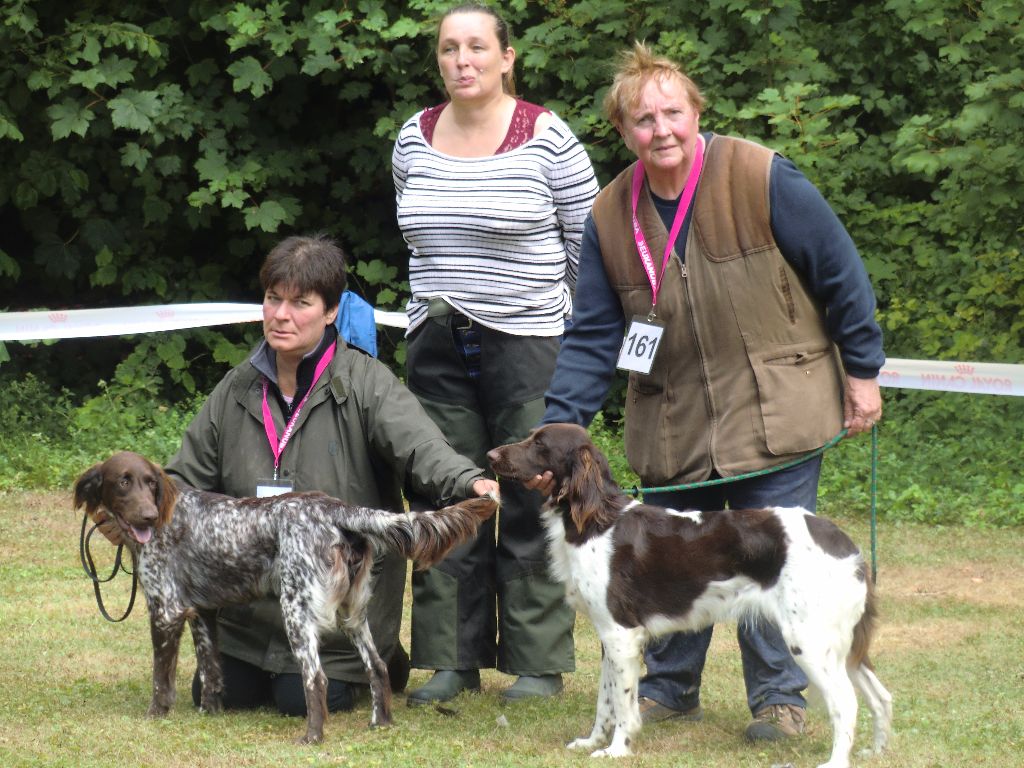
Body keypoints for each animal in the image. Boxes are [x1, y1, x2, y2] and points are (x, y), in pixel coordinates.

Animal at [74, 451, 497, 744]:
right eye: (123, 482)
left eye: (149, 483)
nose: (147, 517)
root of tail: (337, 509)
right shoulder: (204, 614)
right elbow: (210, 673)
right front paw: (210, 714)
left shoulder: (166, 612)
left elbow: (161, 679)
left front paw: (155, 715)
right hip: (352, 615)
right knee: (377, 667)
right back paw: (381, 722)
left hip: (297, 612)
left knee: (315, 679)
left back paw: (312, 737)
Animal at [488, 423, 892, 767]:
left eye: (539, 444)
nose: (491, 455)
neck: (596, 519)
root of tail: (845, 544)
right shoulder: (609, 636)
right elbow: (606, 701)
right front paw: (591, 742)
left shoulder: (621, 635)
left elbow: (622, 703)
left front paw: (617, 749)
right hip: (842, 644)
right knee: (880, 696)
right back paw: (876, 752)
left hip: (808, 640)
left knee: (846, 704)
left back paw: (837, 761)